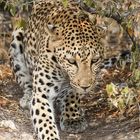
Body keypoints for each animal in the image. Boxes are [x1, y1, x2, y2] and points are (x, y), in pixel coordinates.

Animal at [8, 0, 122, 140]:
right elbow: (45, 121)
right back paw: (27, 98)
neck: (64, 71)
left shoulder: (74, 88)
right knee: (27, 83)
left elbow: (72, 97)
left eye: (94, 60)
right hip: (17, 37)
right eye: (71, 61)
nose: (86, 87)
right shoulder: (41, 94)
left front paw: (73, 119)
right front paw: (51, 136)